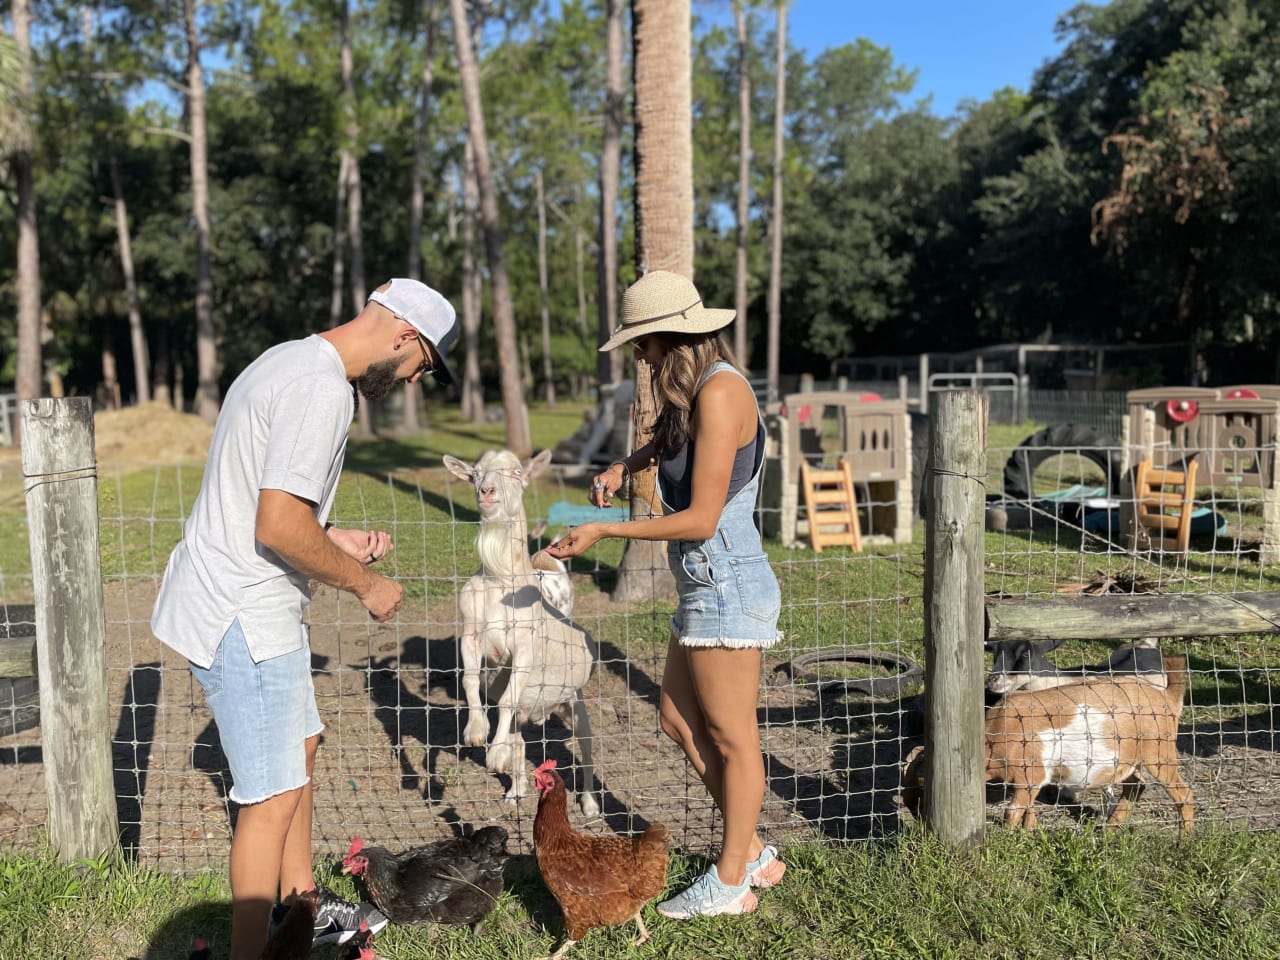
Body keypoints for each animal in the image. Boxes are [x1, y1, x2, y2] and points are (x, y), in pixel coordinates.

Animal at [440, 455, 599, 814]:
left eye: (516, 473)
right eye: (474, 474)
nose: (487, 491)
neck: (500, 581)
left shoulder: (524, 647)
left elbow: (506, 700)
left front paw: (494, 753)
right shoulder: (471, 634)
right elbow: (470, 680)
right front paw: (476, 731)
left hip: (575, 702)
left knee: (586, 748)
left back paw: (590, 803)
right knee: (520, 741)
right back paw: (516, 789)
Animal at [906, 660, 1192, 839]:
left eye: (924, 791)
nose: (917, 820)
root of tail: (1167, 698)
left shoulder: (1030, 774)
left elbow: (1013, 810)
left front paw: (1007, 841)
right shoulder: (1030, 780)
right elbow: (1028, 807)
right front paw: (1030, 832)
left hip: (1160, 754)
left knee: (1183, 793)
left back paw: (1184, 841)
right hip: (1128, 761)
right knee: (1136, 785)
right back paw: (1109, 832)